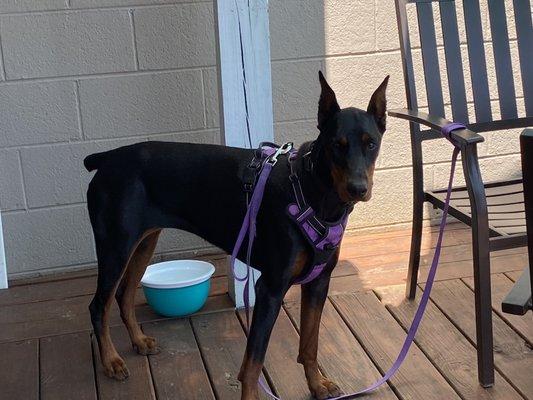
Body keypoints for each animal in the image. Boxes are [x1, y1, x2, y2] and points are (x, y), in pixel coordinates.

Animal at [86, 72, 386, 400]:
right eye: (336, 145)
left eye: (371, 144)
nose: (358, 188)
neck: (312, 191)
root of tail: (108, 158)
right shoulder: (270, 287)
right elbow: (254, 361)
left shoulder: (319, 282)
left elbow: (310, 343)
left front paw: (318, 385)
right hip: (115, 245)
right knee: (99, 305)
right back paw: (111, 361)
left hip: (144, 242)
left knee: (124, 294)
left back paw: (139, 341)